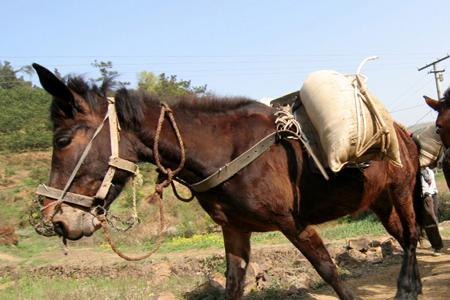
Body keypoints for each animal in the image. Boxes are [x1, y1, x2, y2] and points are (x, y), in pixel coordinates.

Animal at [32, 63, 422, 300]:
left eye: (62, 141)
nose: (57, 220)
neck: (224, 151)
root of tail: (403, 131)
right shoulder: (234, 229)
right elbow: (233, 285)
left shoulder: (293, 223)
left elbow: (329, 271)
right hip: (379, 200)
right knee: (403, 235)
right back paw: (413, 285)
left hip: (400, 190)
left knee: (411, 235)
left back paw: (407, 286)